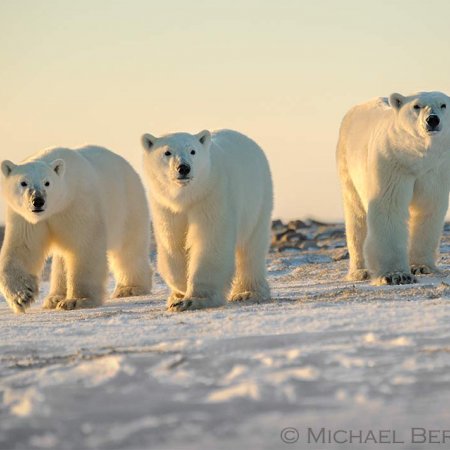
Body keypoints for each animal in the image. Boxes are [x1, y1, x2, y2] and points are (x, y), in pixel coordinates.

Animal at [0, 145, 153, 312]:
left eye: (47, 182)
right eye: (23, 182)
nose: (38, 201)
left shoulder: (78, 204)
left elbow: (84, 246)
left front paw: (76, 300)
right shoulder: (25, 219)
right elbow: (22, 247)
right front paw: (22, 296)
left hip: (127, 206)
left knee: (129, 248)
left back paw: (130, 288)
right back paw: (54, 298)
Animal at [142, 128, 272, 312]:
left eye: (193, 151)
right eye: (167, 152)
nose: (183, 168)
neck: (188, 196)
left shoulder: (211, 195)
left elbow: (210, 241)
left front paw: (194, 299)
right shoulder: (166, 207)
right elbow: (173, 243)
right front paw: (180, 291)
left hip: (257, 201)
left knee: (251, 248)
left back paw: (248, 293)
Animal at [336, 91, 450, 284]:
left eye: (443, 105)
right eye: (416, 106)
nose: (432, 120)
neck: (415, 157)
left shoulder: (435, 171)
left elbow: (428, 210)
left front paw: (421, 266)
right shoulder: (392, 162)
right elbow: (389, 207)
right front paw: (396, 275)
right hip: (347, 164)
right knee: (356, 216)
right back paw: (360, 271)